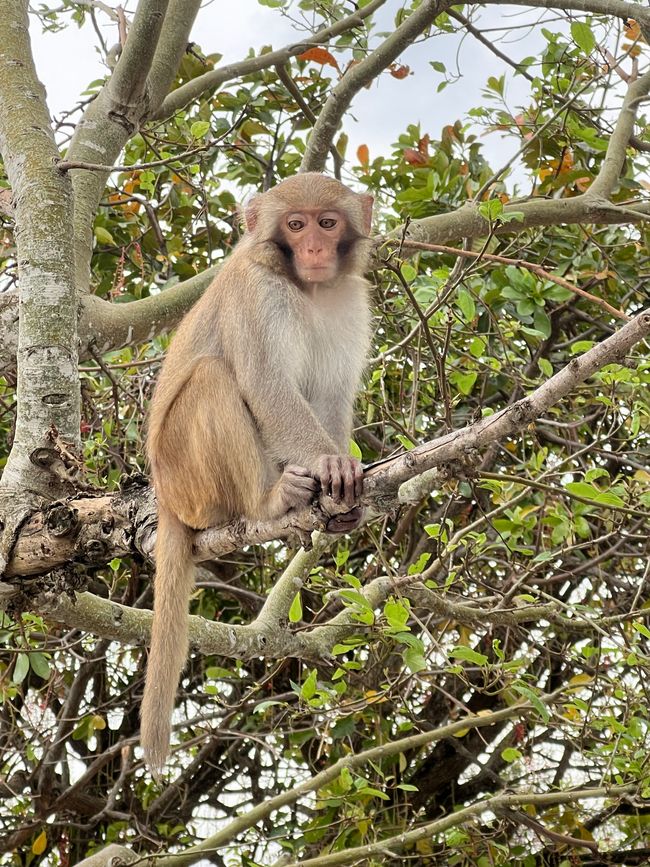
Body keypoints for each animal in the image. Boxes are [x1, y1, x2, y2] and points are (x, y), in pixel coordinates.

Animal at [140, 173, 374, 771]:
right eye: (295, 224)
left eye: (326, 222)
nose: (312, 249)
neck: (307, 289)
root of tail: (163, 497)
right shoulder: (256, 294)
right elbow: (268, 387)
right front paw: (330, 463)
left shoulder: (350, 302)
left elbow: (331, 395)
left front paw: (343, 493)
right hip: (187, 476)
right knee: (214, 377)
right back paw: (268, 501)